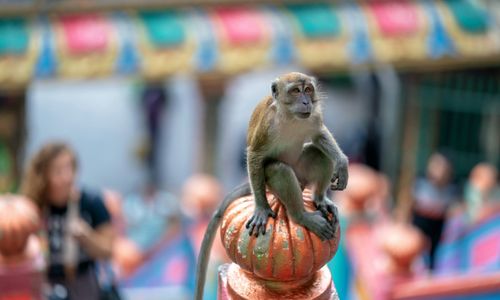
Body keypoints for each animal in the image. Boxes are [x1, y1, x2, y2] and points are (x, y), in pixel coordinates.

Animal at [195, 72, 348, 300]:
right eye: (295, 91)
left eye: (308, 90)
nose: (306, 101)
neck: (290, 117)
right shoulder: (267, 127)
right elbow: (255, 156)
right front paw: (261, 208)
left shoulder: (312, 117)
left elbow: (319, 134)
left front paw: (342, 162)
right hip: (271, 183)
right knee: (279, 169)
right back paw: (300, 216)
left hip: (301, 174)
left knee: (318, 153)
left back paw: (320, 200)